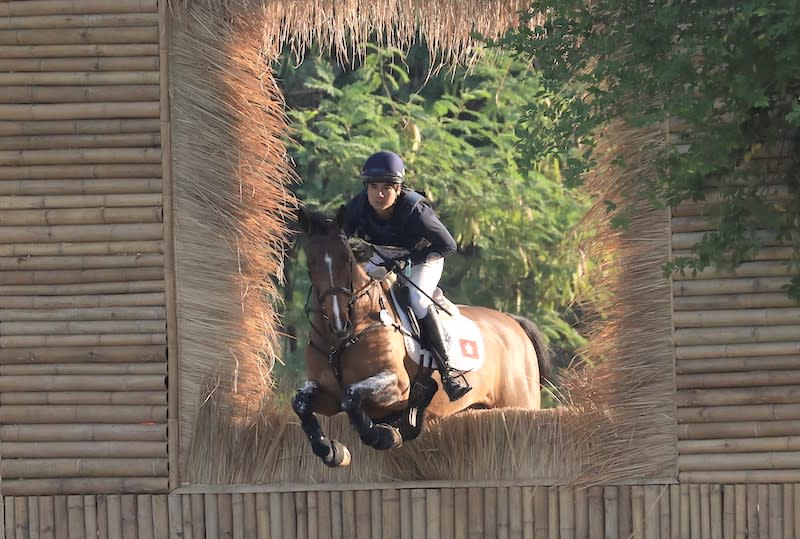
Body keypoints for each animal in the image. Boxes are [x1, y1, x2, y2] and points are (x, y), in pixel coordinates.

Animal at [292, 207, 552, 468]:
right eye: (310, 264)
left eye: (346, 260)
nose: (338, 323)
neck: (344, 338)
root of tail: (513, 322)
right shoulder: (327, 394)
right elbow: (301, 404)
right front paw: (331, 450)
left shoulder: (398, 386)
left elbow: (351, 397)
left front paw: (386, 436)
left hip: (518, 402)